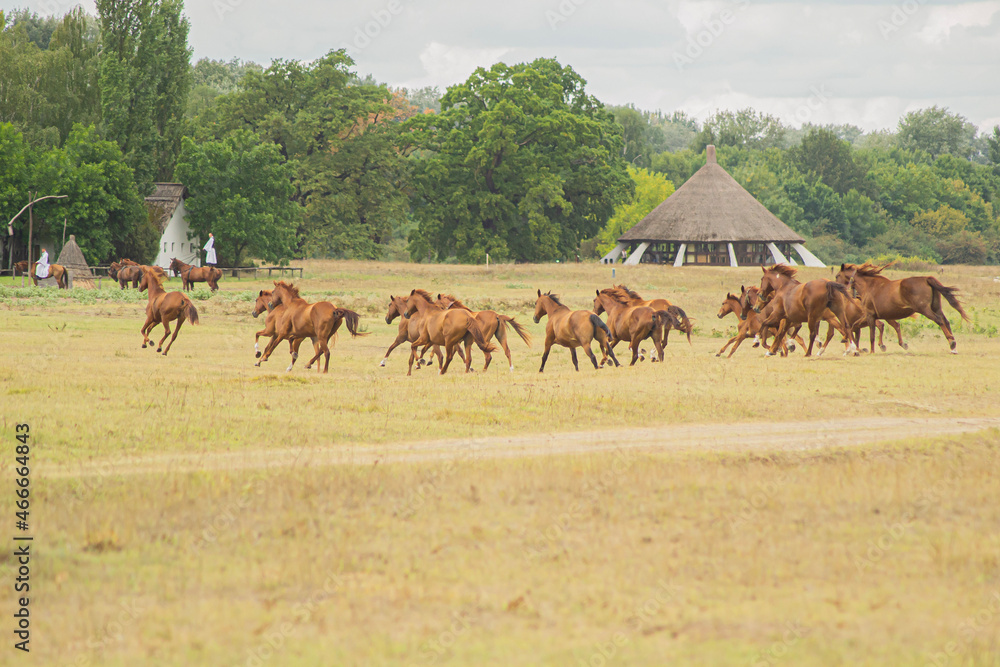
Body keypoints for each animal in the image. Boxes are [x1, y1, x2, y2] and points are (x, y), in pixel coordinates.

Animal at [836, 262, 968, 354]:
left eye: (837, 276)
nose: (837, 287)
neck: (868, 286)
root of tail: (926, 278)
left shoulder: (870, 315)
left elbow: (871, 334)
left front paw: (871, 351)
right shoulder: (871, 316)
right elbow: (854, 326)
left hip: (925, 310)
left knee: (939, 320)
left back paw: (952, 342)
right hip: (936, 308)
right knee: (946, 321)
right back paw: (953, 347)